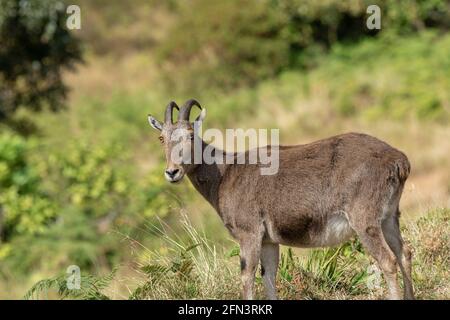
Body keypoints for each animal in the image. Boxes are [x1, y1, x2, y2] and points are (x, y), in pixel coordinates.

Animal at [149, 99, 414, 298]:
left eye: (190, 136)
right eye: (162, 138)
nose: (172, 172)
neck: (224, 174)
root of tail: (398, 161)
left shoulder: (249, 232)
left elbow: (247, 276)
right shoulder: (269, 240)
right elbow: (269, 276)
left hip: (364, 219)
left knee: (388, 261)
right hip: (389, 216)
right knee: (404, 254)